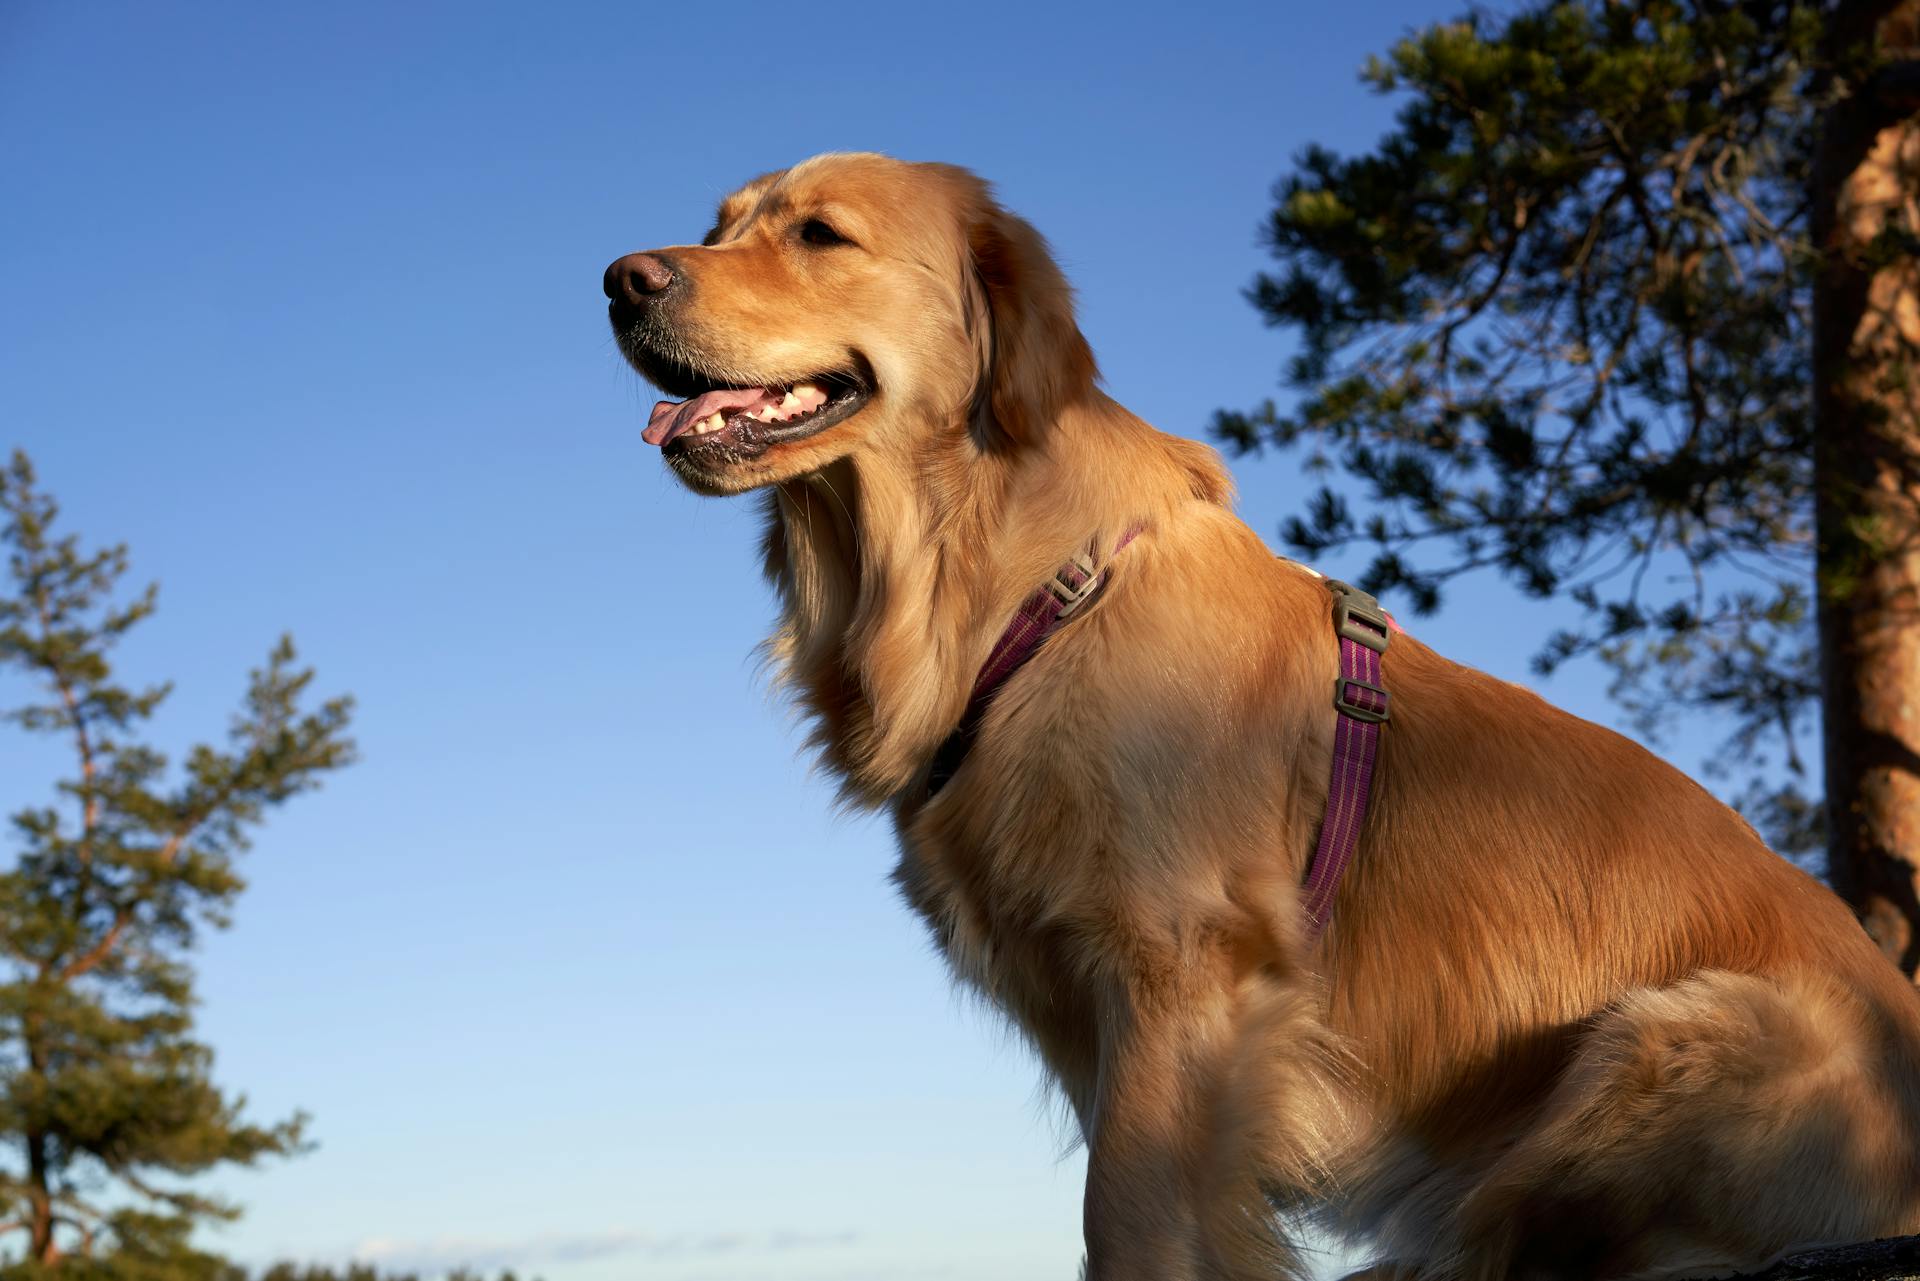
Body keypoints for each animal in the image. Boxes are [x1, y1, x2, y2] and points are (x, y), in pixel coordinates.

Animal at [606, 152, 1920, 1281]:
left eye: (819, 235)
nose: (622, 279)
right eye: (721, 223)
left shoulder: (1181, 968)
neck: (1017, 586)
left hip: (1675, 1033)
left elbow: (1130, 1219)